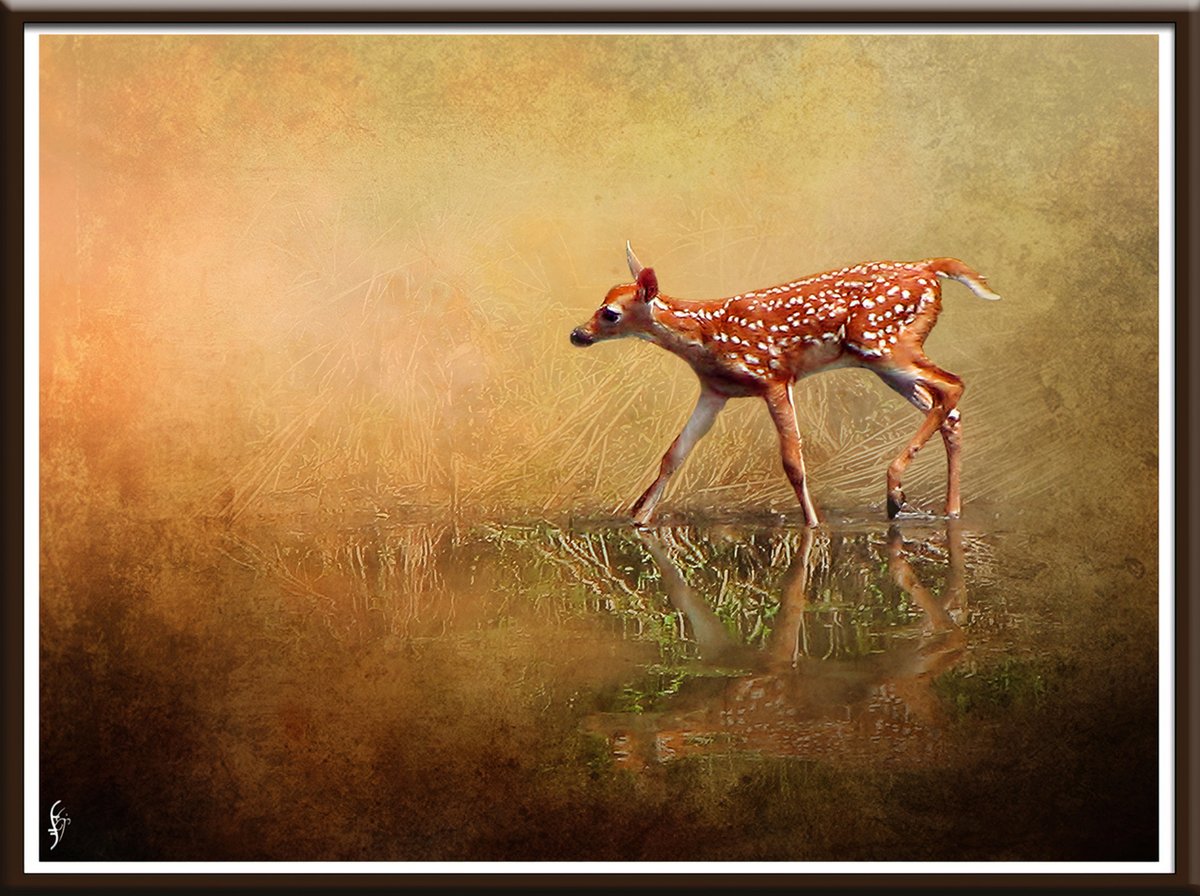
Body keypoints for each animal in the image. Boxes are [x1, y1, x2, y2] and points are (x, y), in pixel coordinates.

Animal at [570, 243, 1000, 527]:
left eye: (610, 313)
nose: (577, 334)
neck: (707, 337)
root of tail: (929, 267)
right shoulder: (715, 390)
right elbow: (674, 454)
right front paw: (639, 517)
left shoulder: (774, 378)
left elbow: (793, 460)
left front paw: (813, 523)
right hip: (887, 362)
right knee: (948, 409)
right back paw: (947, 509)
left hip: (885, 345)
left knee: (953, 385)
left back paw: (895, 492)